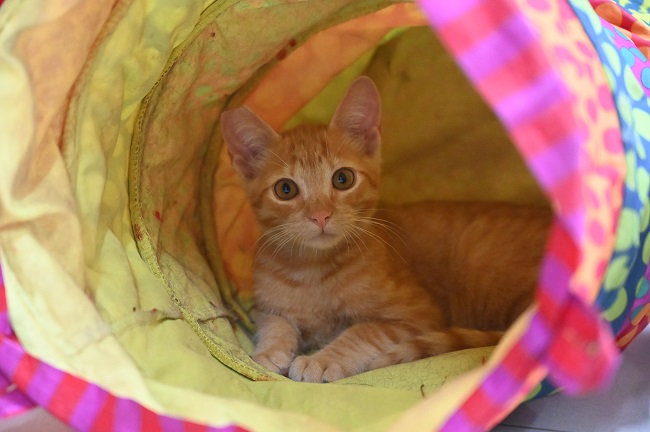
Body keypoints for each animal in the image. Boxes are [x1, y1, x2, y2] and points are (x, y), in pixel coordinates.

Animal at [220, 77, 548, 382]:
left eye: (342, 179)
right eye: (285, 189)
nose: (320, 215)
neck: (313, 270)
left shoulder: (419, 316)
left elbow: (363, 331)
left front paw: (322, 360)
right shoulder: (262, 307)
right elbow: (275, 321)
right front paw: (270, 350)